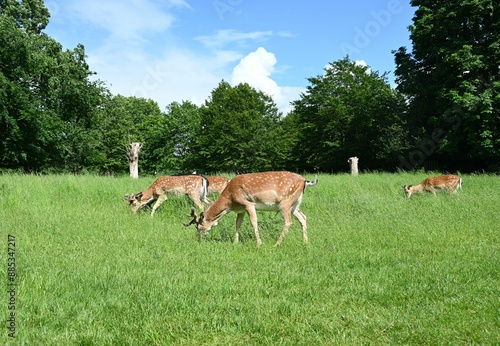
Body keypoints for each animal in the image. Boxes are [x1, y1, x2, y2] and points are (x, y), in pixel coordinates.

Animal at [183, 170, 316, 246]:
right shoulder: (240, 210)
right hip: (295, 205)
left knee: (288, 222)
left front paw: (259, 244)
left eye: (199, 227)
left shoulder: (248, 203)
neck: (230, 201)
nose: (199, 239)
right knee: (303, 217)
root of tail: (305, 181)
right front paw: (235, 242)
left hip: (285, 203)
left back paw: (276, 244)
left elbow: (254, 222)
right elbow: (237, 224)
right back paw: (306, 242)